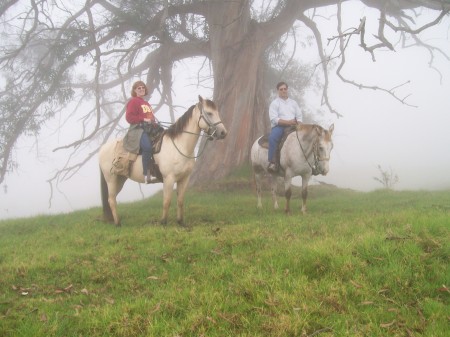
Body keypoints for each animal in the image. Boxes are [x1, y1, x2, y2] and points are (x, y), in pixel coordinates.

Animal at [97, 94, 227, 226]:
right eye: (209, 113)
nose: (223, 132)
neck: (180, 146)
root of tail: (103, 148)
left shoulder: (184, 178)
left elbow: (180, 200)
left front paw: (180, 222)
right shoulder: (169, 178)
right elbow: (167, 201)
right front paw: (163, 222)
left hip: (120, 179)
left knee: (112, 198)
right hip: (111, 179)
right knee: (111, 200)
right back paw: (118, 223)